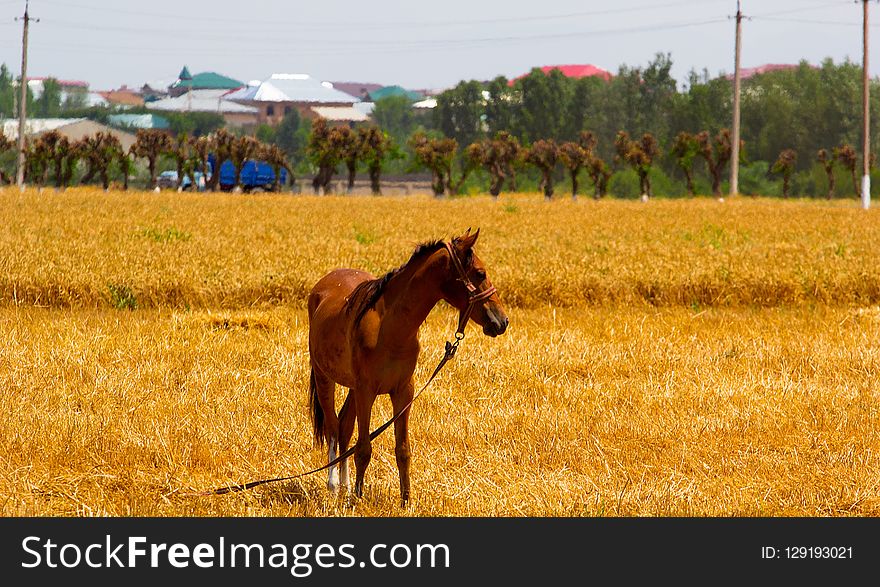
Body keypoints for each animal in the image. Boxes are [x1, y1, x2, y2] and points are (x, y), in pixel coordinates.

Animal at [308, 229, 508, 500]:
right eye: (480, 273)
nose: (502, 321)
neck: (389, 328)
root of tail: (321, 287)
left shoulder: (403, 391)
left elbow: (403, 450)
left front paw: (406, 500)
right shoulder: (366, 391)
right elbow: (363, 449)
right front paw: (358, 499)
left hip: (351, 387)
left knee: (344, 426)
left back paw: (346, 486)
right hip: (324, 378)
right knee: (332, 426)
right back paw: (334, 486)